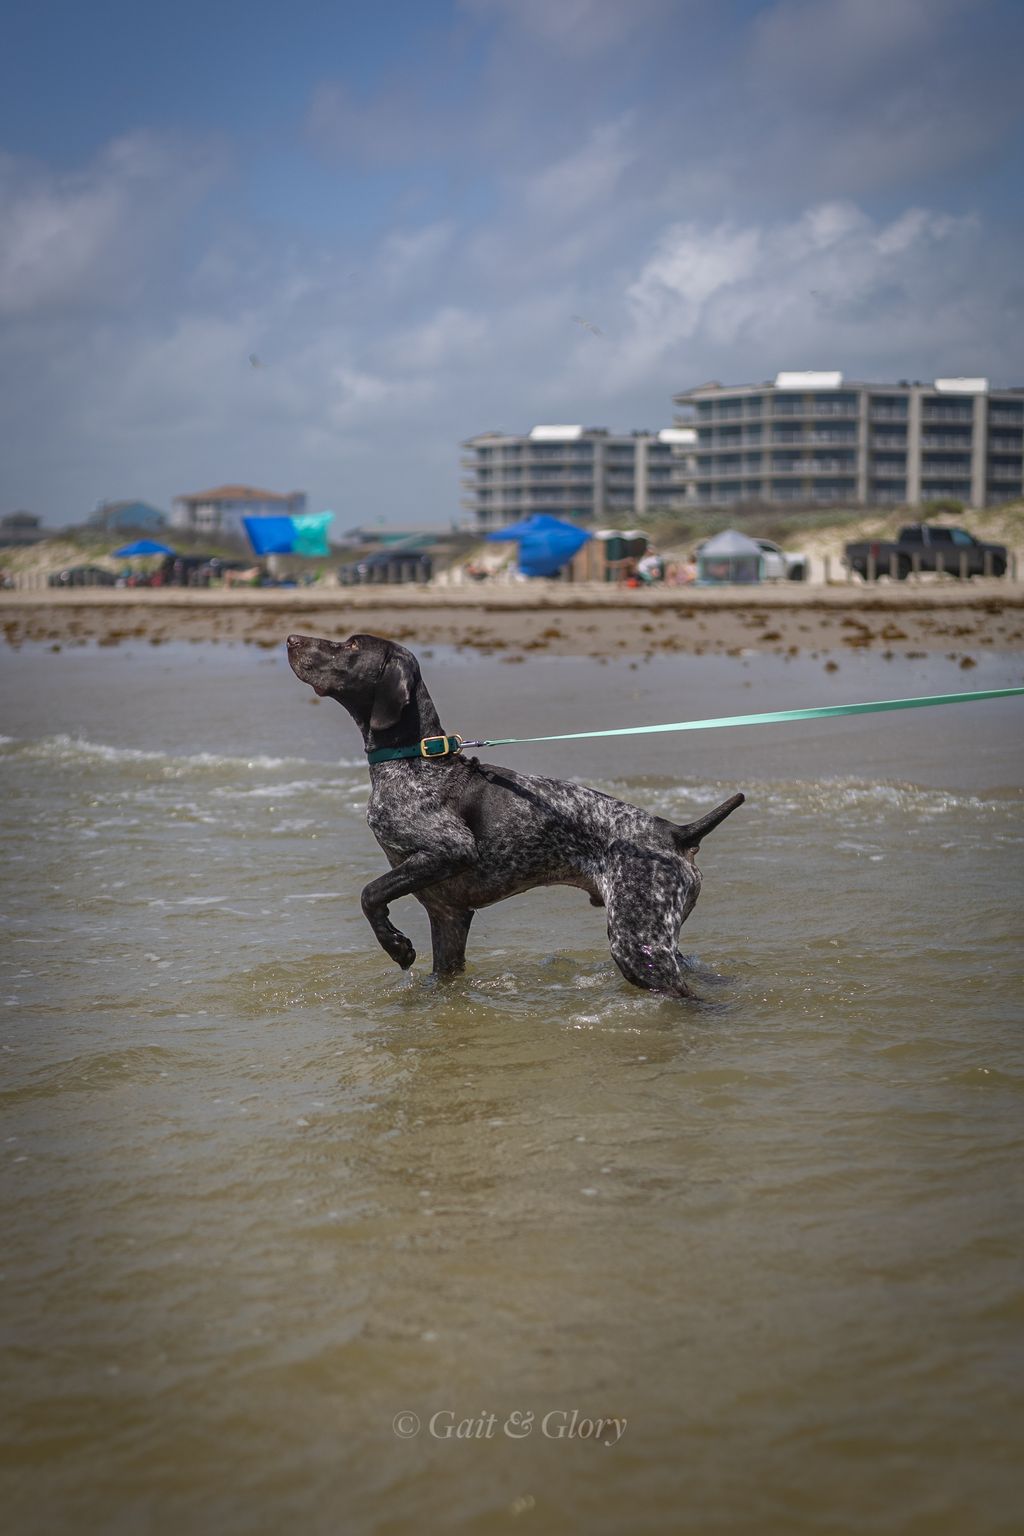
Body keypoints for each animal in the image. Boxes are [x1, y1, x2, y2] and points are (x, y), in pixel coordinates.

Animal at [288, 632, 746, 1001]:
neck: (413, 761)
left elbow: (370, 894)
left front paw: (396, 945)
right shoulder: (448, 915)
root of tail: (676, 833)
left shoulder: (449, 851)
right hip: (658, 935)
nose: (291, 639)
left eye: (351, 645)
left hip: (637, 944)